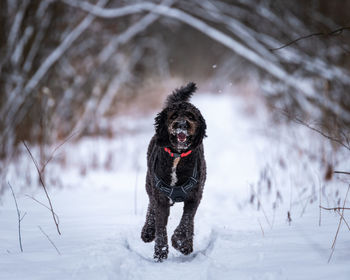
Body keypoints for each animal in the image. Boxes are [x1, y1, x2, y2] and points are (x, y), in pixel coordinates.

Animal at [140, 82, 206, 262]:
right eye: (173, 116)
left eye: (191, 116)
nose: (181, 125)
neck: (177, 155)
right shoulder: (161, 198)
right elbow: (161, 227)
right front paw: (160, 253)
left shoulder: (194, 195)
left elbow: (187, 220)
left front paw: (180, 242)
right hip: (150, 184)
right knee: (151, 206)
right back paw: (148, 231)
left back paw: (188, 245)